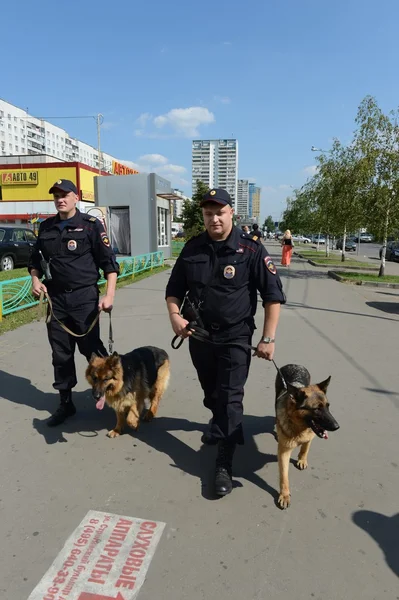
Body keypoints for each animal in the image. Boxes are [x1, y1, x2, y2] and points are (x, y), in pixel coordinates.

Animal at [276, 364, 340, 508]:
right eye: (317, 409)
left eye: (328, 406)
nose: (337, 426)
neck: (299, 427)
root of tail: (294, 364)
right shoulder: (284, 452)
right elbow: (284, 476)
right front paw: (285, 495)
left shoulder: (310, 435)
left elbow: (305, 447)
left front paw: (302, 459)